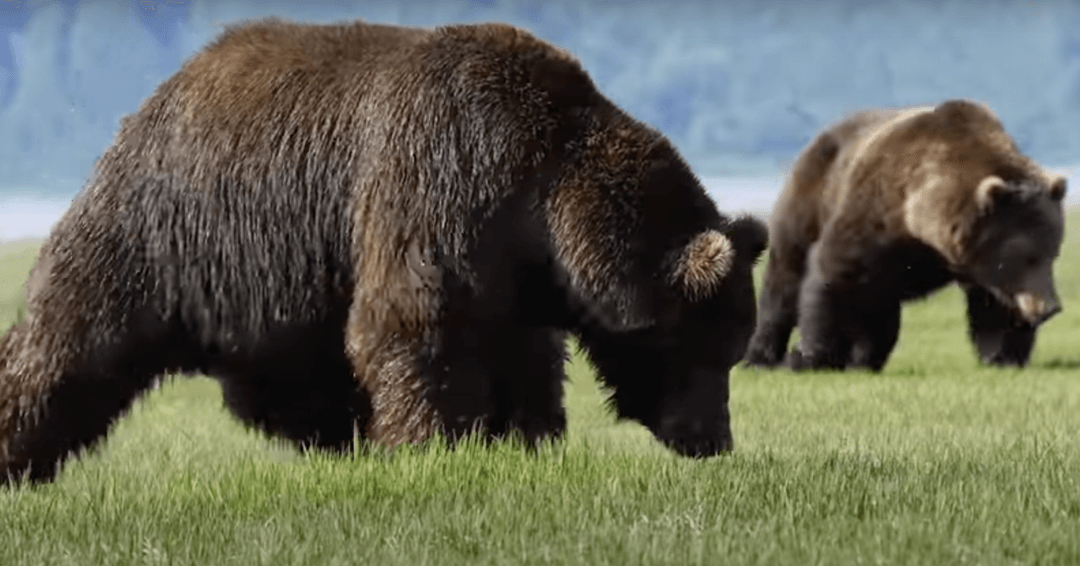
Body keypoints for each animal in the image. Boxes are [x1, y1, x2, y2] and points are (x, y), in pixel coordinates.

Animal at [0, 18, 768, 484]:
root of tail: (168, 85)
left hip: (281, 277)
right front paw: (430, 445)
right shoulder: (440, 181)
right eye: (700, 349)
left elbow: (525, 357)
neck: (547, 201)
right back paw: (17, 452)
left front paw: (526, 438)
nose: (714, 440)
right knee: (72, 335)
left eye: (732, 350)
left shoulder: (516, 272)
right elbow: (413, 324)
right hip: (162, 226)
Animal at [742, 99, 1066, 372]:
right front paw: (809, 357)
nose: (1050, 308)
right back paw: (760, 357)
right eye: (1026, 256)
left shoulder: (975, 262)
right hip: (813, 195)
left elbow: (995, 305)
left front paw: (1002, 356)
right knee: (786, 275)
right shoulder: (876, 214)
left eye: (1052, 253)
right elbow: (831, 275)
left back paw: (864, 360)